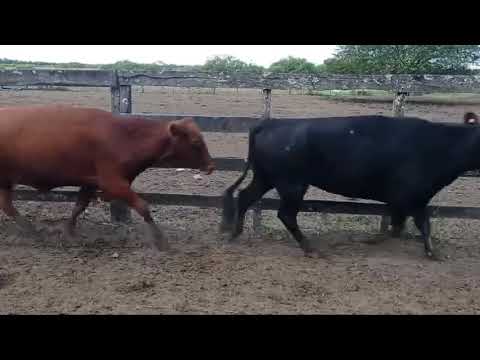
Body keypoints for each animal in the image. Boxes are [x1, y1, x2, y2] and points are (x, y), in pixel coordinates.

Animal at [0, 104, 216, 250]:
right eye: (196, 142)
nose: (211, 166)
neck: (124, 137)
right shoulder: (113, 183)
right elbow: (143, 207)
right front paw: (160, 240)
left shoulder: (91, 182)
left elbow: (79, 206)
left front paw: (69, 232)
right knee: (8, 206)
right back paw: (31, 230)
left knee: (7, 206)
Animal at [220, 112, 480, 258]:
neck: (439, 146)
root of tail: (271, 123)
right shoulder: (413, 196)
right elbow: (420, 225)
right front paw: (432, 252)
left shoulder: (408, 199)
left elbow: (402, 226)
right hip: (292, 184)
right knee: (286, 214)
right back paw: (310, 249)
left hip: (266, 177)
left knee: (245, 197)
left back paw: (235, 233)